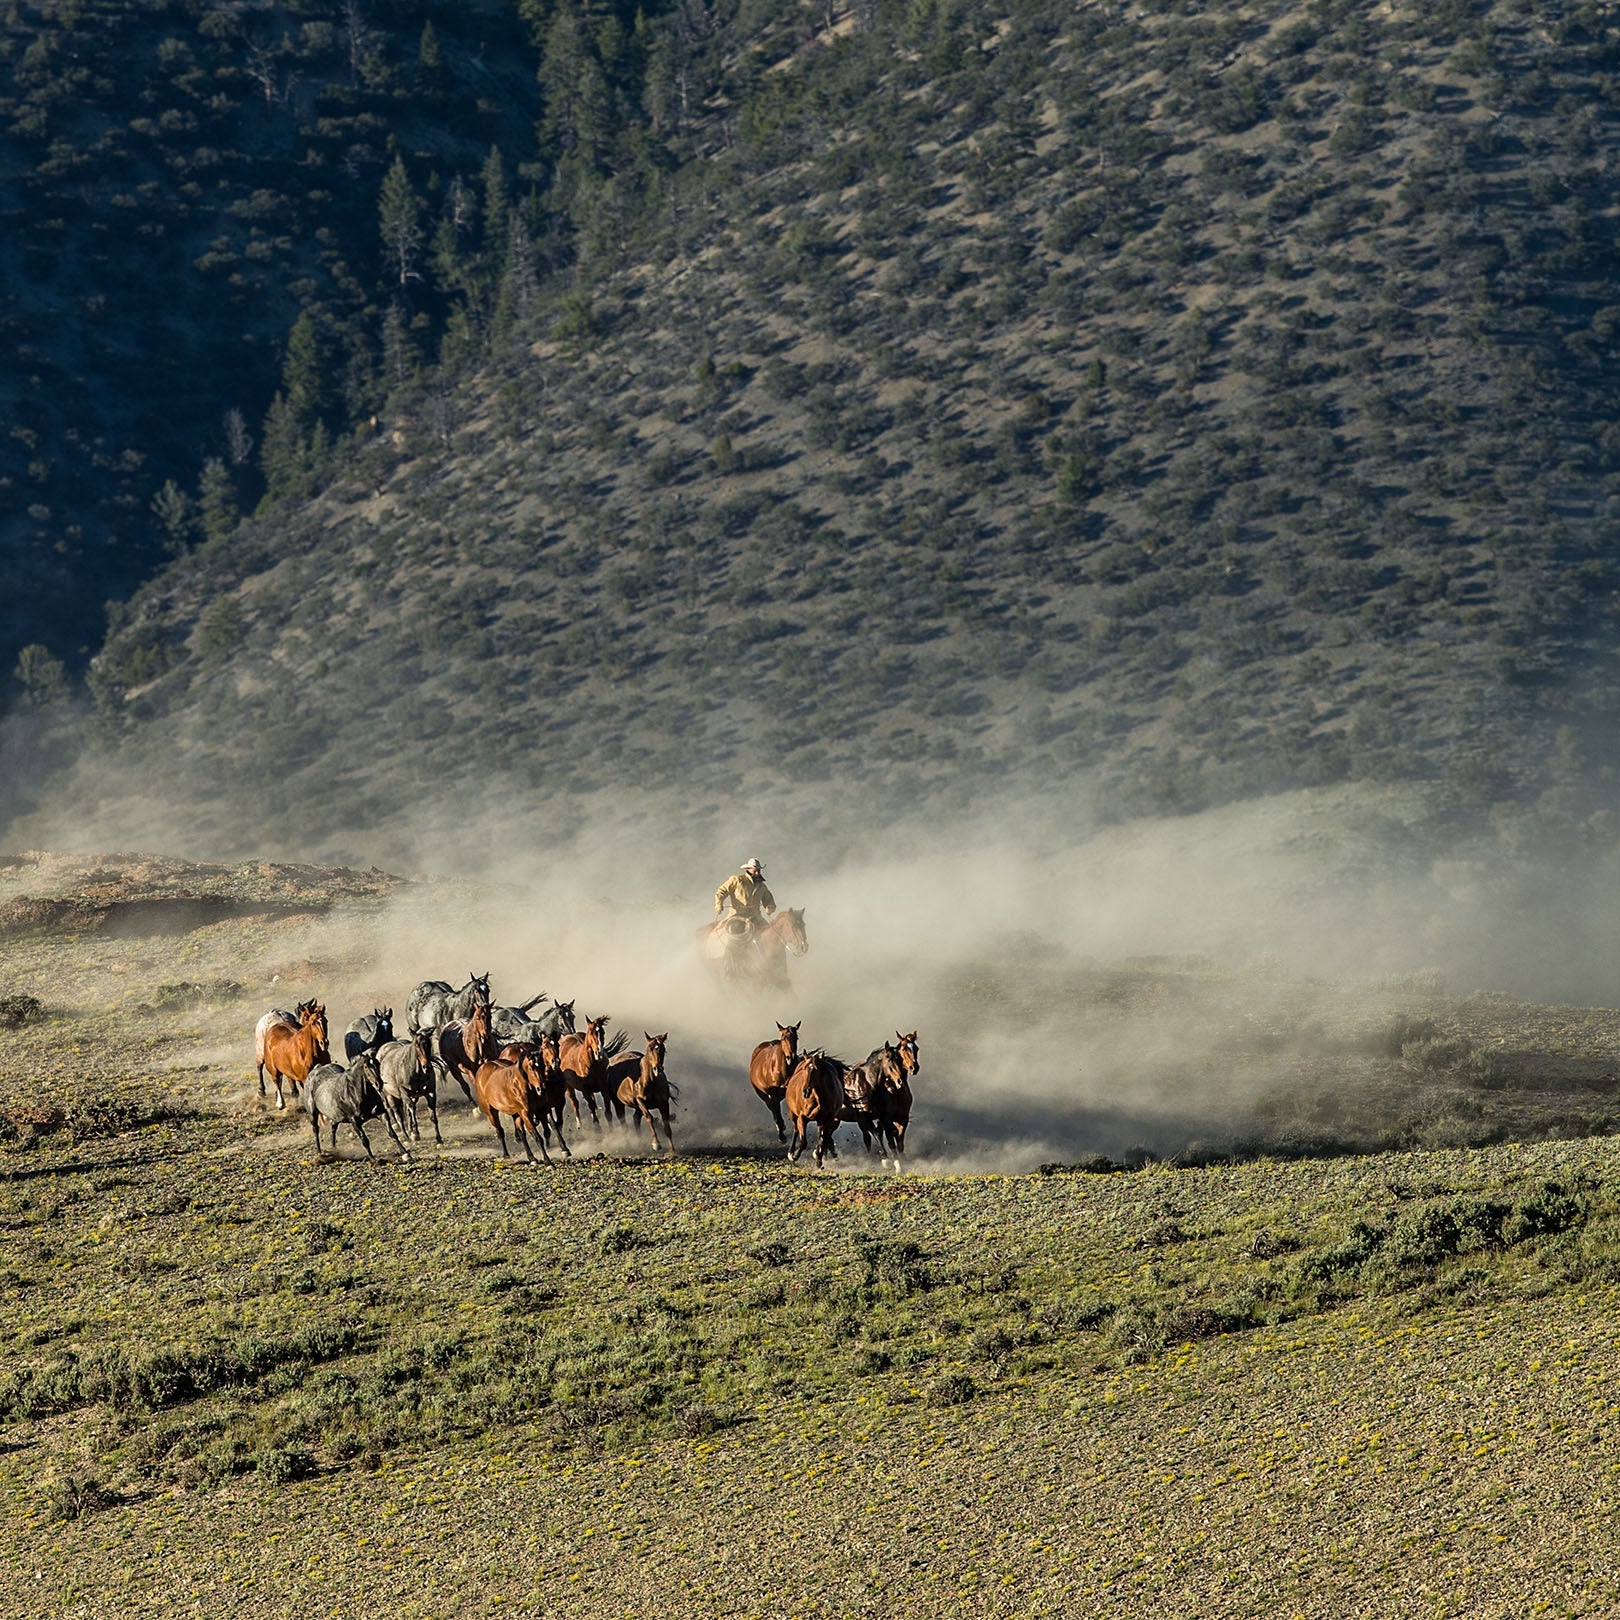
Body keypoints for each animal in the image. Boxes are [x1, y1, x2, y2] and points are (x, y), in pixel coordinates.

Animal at [609, 1030, 680, 1159]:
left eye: (663, 1049)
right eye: (650, 1049)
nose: (658, 1069)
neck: (649, 1081)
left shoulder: (664, 1103)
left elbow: (666, 1125)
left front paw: (672, 1151)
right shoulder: (640, 1101)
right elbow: (649, 1118)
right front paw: (656, 1144)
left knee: (636, 1118)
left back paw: (640, 1144)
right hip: (618, 1102)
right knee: (623, 1120)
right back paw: (629, 1146)